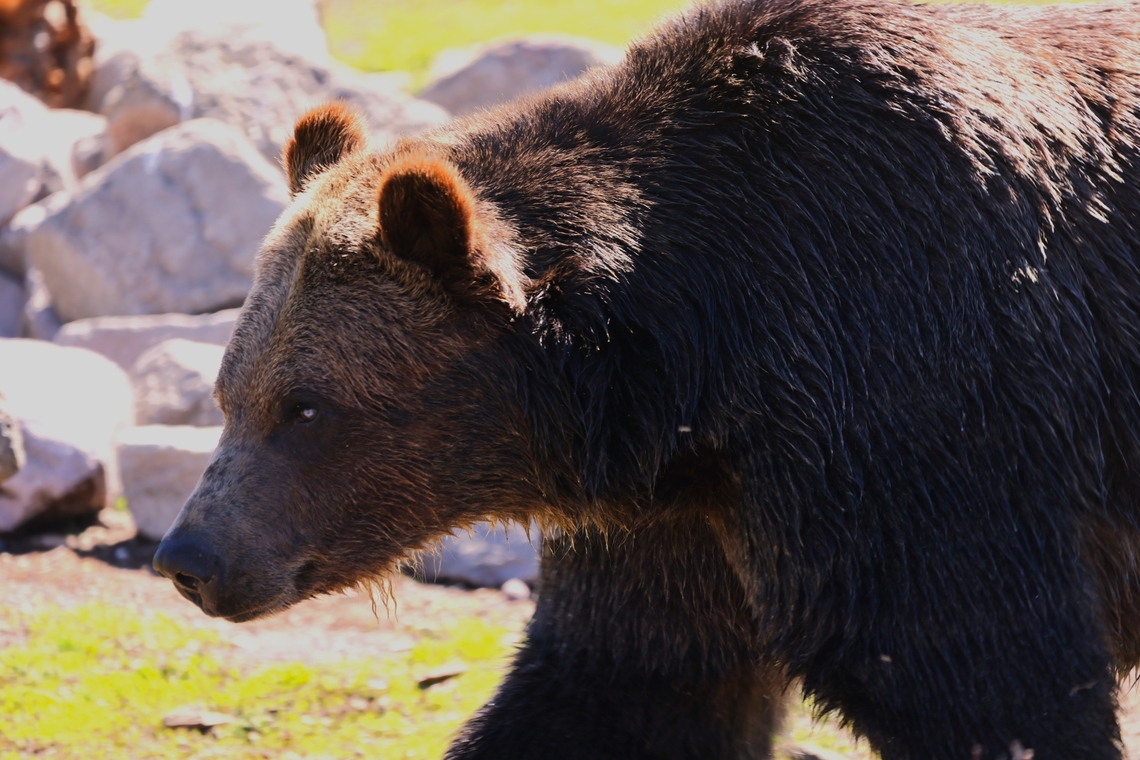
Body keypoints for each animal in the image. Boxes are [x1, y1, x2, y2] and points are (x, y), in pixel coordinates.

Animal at [152, 0, 1140, 757]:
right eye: (228, 395)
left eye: (306, 408)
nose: (190, 557)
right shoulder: (682, 518)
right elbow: (626, 683)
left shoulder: (920, 399)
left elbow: (977, 673)